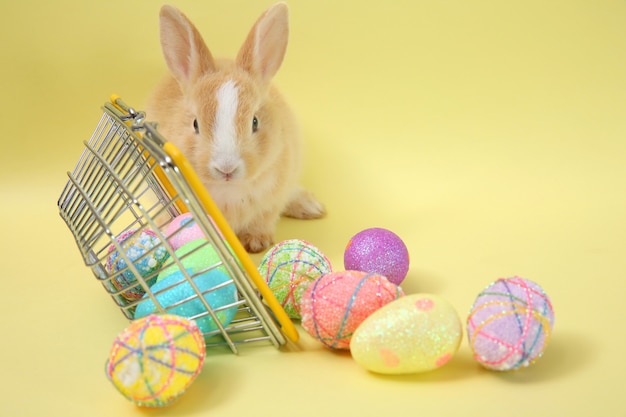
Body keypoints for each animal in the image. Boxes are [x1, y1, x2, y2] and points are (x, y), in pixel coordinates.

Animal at [144, 3, 324, 252]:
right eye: (195, 124)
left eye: (255, 122)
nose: (226, 168)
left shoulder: (271, 201)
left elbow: (263, 219)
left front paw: (256, 243)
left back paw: (312, 207)